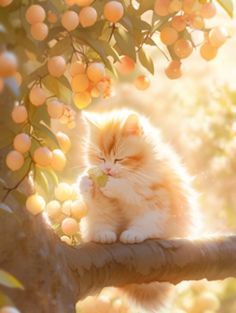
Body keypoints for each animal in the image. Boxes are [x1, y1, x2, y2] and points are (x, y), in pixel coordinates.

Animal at [77, 108, 199, 310]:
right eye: (101, 157)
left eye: (119, 159)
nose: (107, 170)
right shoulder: (106, 204)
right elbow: (101, 208)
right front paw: (87, 183)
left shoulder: (155, 195)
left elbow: (131, 192)